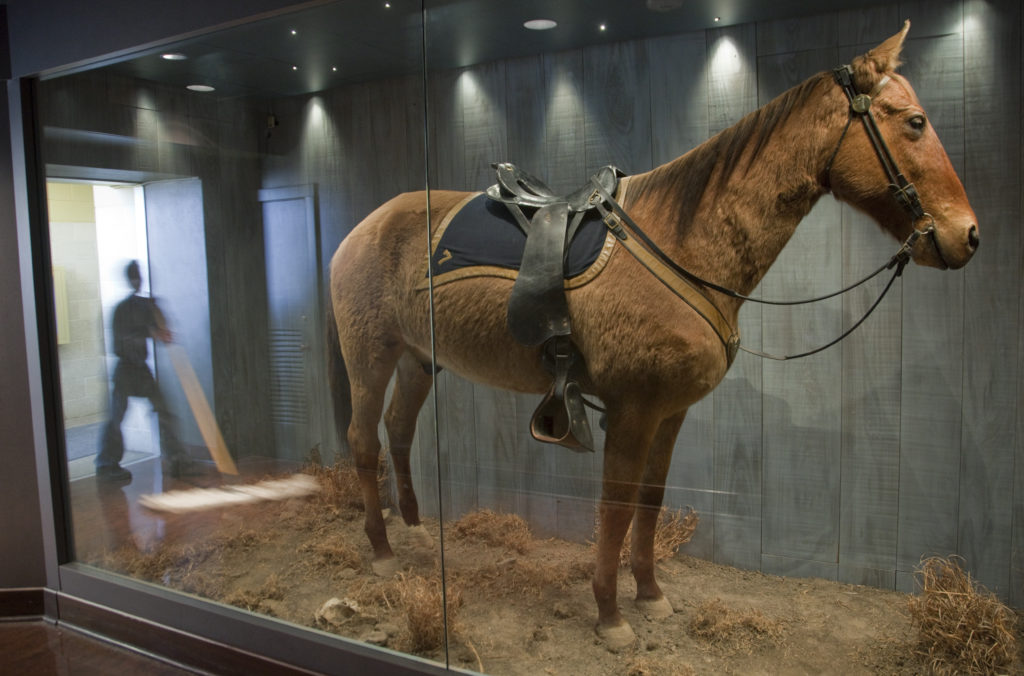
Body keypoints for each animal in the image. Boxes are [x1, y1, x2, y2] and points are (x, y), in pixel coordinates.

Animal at [326, 22, 978, 649]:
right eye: (915, 122)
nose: (967, 236)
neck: (678, 243)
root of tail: (363, 227)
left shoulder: (670, 413)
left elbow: (650, 500)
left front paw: (649, 592)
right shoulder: (633, 410)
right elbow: (615, 508)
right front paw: (611, 615)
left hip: (417, 360)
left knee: (399, 431)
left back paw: (414, 531)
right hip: (370, 356)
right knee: (364, 439)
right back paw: (381, 550)